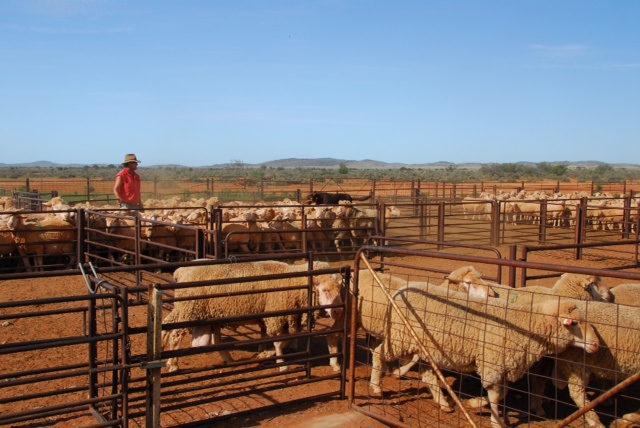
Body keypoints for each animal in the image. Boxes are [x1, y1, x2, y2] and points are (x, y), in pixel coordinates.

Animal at [161, 260, 344, 372]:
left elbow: (286, 340)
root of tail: (182, 270)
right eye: (324, 290)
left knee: (171, 325)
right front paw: (281, 364)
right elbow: (278, 342)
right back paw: (174, 364)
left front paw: (264, 354)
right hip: (190, 310)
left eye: (340, 289)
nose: (337, 311)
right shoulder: (275, 317)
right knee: (176, 335)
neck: (294, 283)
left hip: (194, 311)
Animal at [370, 284, 600, 428]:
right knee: (378, 354)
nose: (596, 345)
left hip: (422, 346)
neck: (524, 326)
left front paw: (475, 404)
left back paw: (444, 404)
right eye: (575, 323)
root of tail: (399, 291)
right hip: (399, 336)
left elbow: (502, 393)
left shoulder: (502, 365)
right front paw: (495, 421)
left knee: (428, 375)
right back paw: (375, 387)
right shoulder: (492, 362)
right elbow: (496, 395)